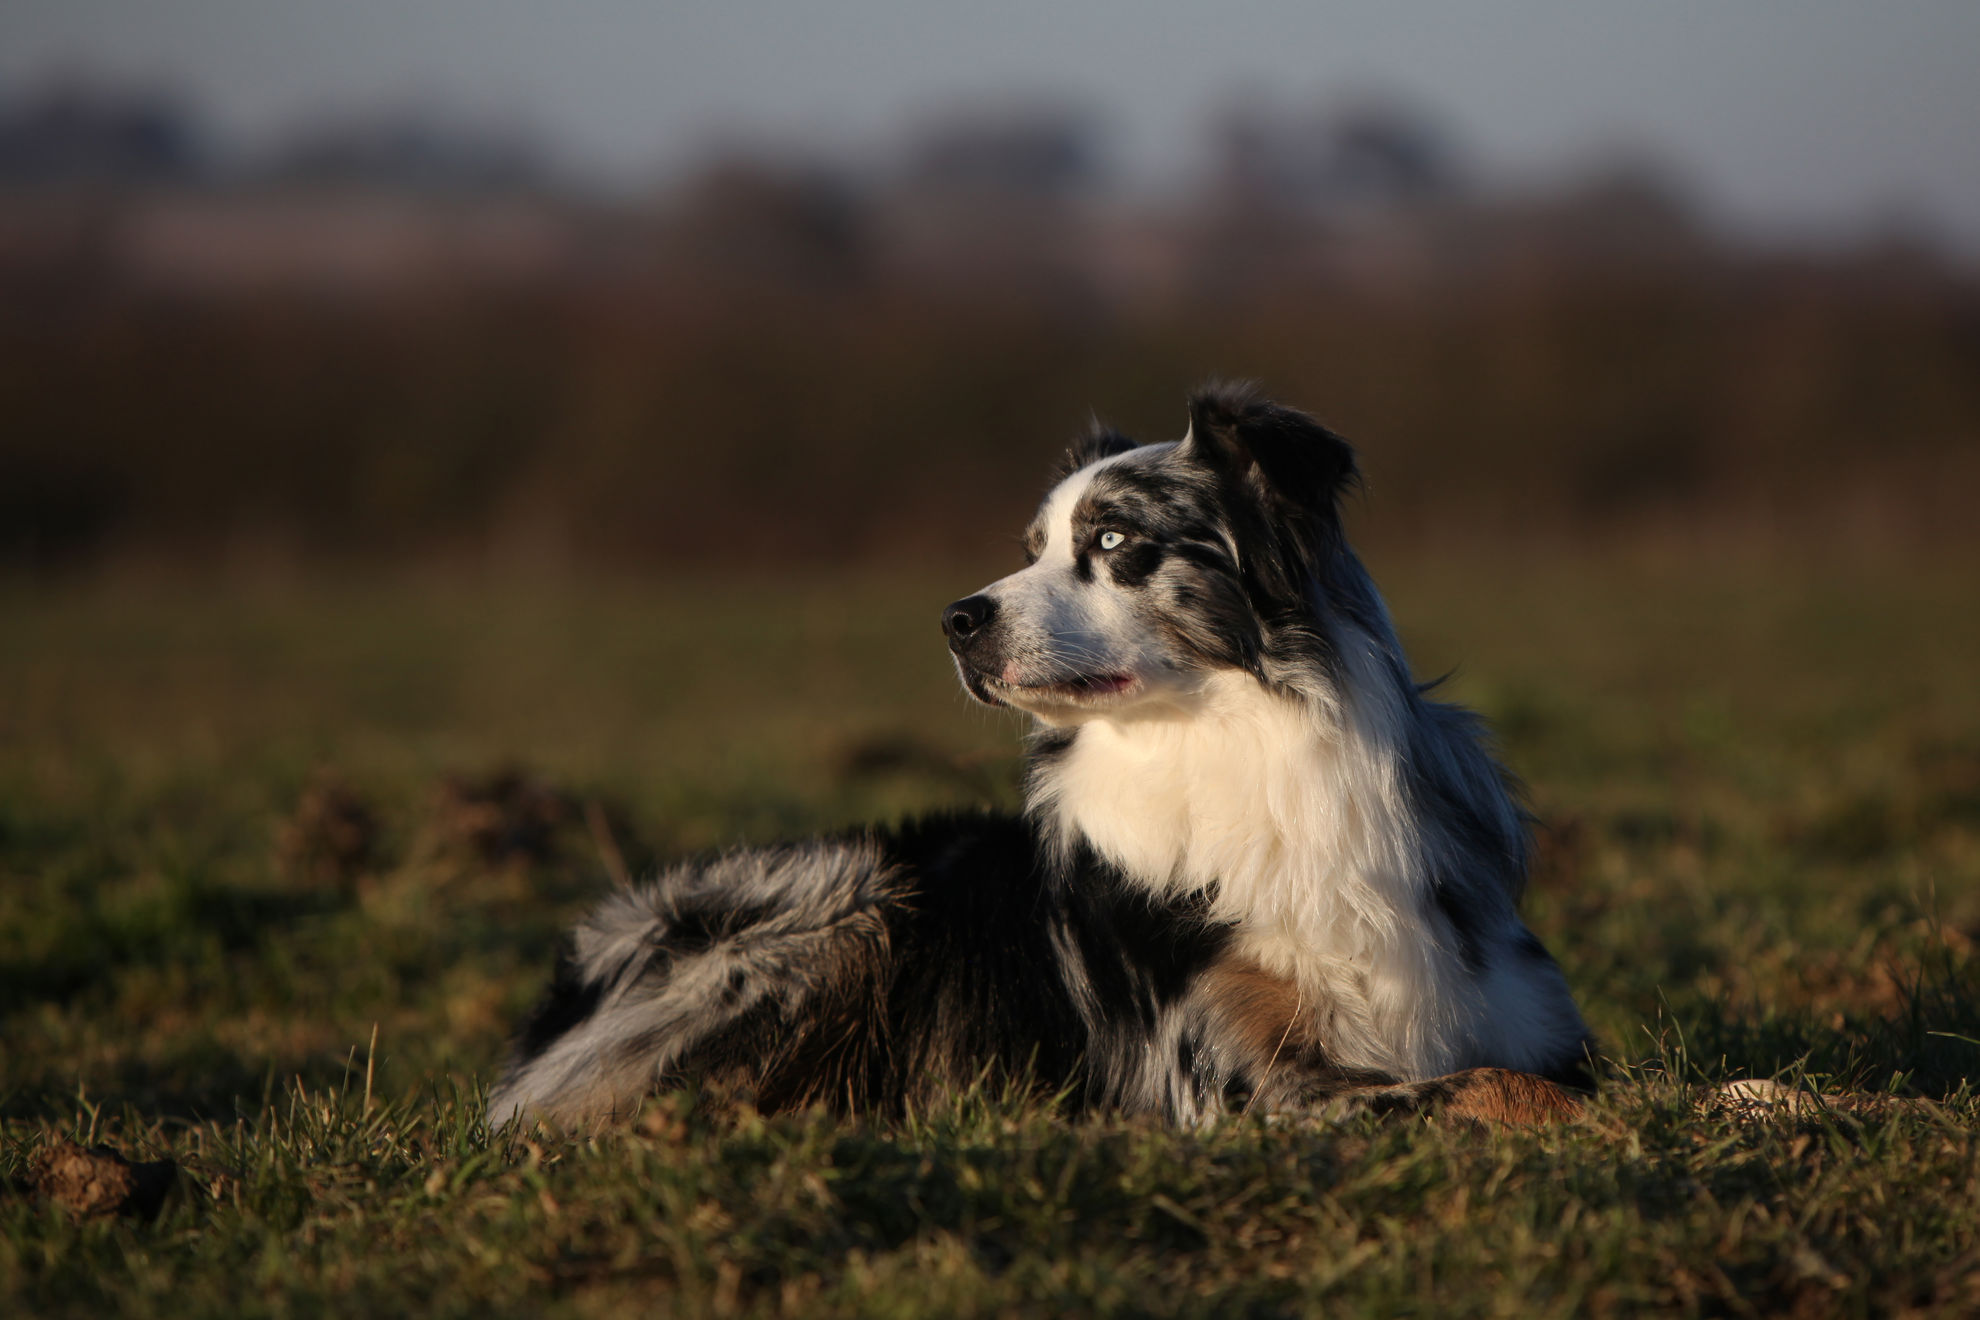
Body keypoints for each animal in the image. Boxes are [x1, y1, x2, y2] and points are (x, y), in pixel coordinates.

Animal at [491, 387, 1591, 1131]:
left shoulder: (1523, 1014)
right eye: (1030, 547)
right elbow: (1487, 1088)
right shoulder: (1240, 1083)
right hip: (833, 900)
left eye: (1112, 539)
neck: (1242, 748)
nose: (955, 620)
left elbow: (1529, 1073)